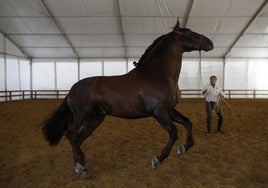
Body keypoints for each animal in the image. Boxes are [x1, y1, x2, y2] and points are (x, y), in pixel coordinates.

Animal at [42, 20, 214, 176]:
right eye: (188, 31)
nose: (210, 43)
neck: (159, 73)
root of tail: (72, 90)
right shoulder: (159, 112)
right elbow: (173, 132)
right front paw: (158, 159)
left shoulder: (169, 110)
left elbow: (188, 123)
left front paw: (184, 147)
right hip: (81, 114)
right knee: (71, 135)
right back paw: (79, 165)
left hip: (95, 119)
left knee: (78, 138)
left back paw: (80, 167)